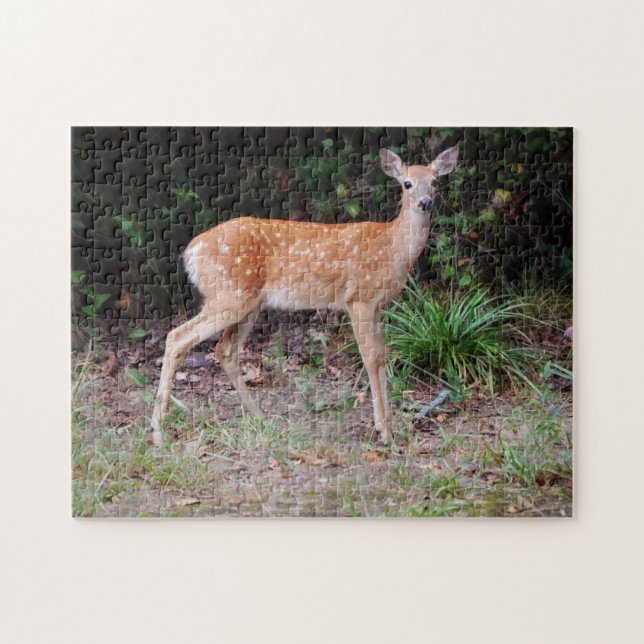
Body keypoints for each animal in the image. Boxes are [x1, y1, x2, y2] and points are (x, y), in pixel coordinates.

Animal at [150, 146, 459, 447]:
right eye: (407, 184)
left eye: (435, 182)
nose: (425, 203)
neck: (393, 248)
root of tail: (192, 251)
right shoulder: (358, 298)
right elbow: (370, 358)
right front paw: (383, 431)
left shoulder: (377, 306)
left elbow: (383, 356)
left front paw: (391, 426)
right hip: (230, 294)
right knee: (177, 337)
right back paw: (157, 431)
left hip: (249, 302)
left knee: (224, 349)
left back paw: (260, 417)